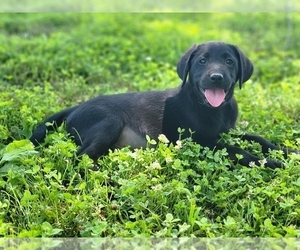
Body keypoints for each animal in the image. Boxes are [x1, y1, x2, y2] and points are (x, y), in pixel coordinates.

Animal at [29, 41, 298, 168]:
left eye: (229, 61)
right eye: (202, 61)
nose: (216, 77)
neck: (213, 109)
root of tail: (75, 107)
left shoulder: (227, 131)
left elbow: (259, 139)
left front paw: (288, 152)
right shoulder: (202, 141)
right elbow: (240, 150)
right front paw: (273, 163)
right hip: (109, 122)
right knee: (80, 157)